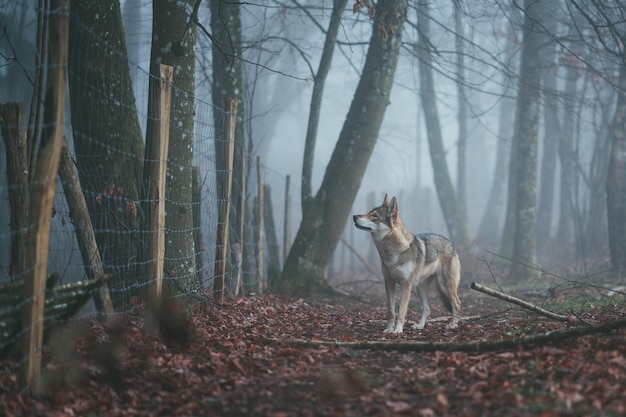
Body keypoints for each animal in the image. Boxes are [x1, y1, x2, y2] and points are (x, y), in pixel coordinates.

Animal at [352, 193, 458, 334]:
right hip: (420, 288)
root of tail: (451, 243)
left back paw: (453, 325)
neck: (393, 252)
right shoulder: (389, 283)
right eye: (369, 212)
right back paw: (420, 326)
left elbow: (401, 311)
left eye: (374, 216)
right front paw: (389, 329)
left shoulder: (406, 285)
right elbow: (391, 312)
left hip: (445, 285)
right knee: (428, 308)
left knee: (457, 304)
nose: (354, 216)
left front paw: (397, 330)